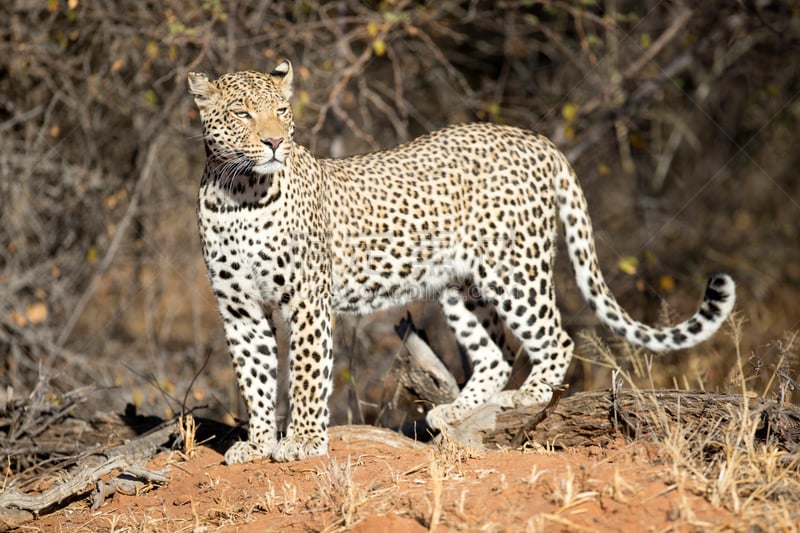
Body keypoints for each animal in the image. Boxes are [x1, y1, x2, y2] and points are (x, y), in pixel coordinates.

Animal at [189, 60, 736, 464]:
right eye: (241, 114)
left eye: (282, 110)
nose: (274, 143)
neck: (239, 194)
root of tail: (535, 139)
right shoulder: (239, 310)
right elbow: (255, 376)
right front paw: (258, 443)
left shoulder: (306, 301)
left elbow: (304, 372)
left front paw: (301, 441)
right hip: (459, 286)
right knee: (496, 353)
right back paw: (453, 412)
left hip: (514, 267)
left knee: (555, 338)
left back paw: (527, 397)